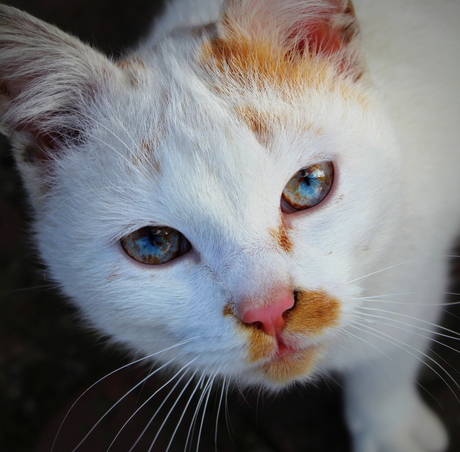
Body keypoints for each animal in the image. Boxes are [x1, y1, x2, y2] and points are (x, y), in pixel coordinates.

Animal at [0, 0, 460, 450]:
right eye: (153, 243)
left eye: (309, 184)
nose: (269, 311)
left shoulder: (419, 269)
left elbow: (393, 353)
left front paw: (390, 428)